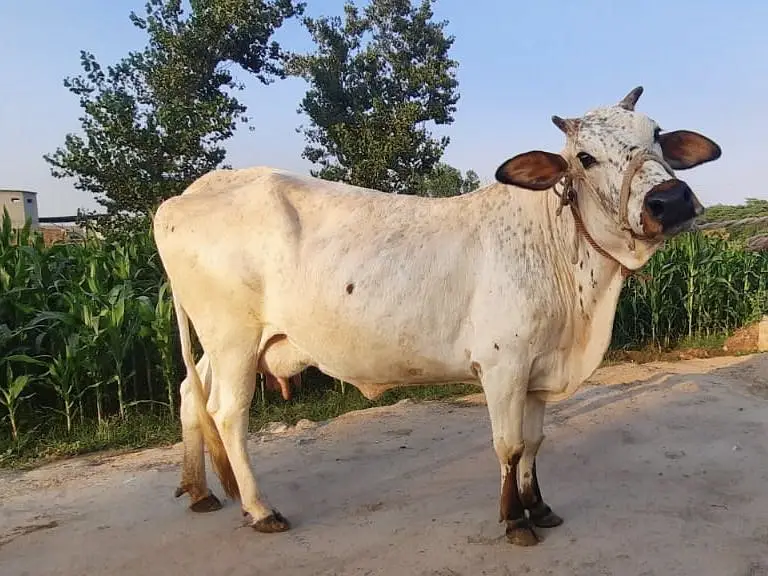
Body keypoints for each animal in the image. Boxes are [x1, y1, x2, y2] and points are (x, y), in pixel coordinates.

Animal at [153, 86, 721, 546]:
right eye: (585, 157)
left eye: (657, 134)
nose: (670, 200)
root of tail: (186, 195)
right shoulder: (503, 366)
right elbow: (510, 445)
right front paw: (515, 521)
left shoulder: (538, 368)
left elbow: (535, 442)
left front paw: (540, 507)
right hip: (233, 338)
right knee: (227, 413)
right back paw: (259, 509)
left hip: (225, 344)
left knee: (190, 394)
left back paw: (199, 491)